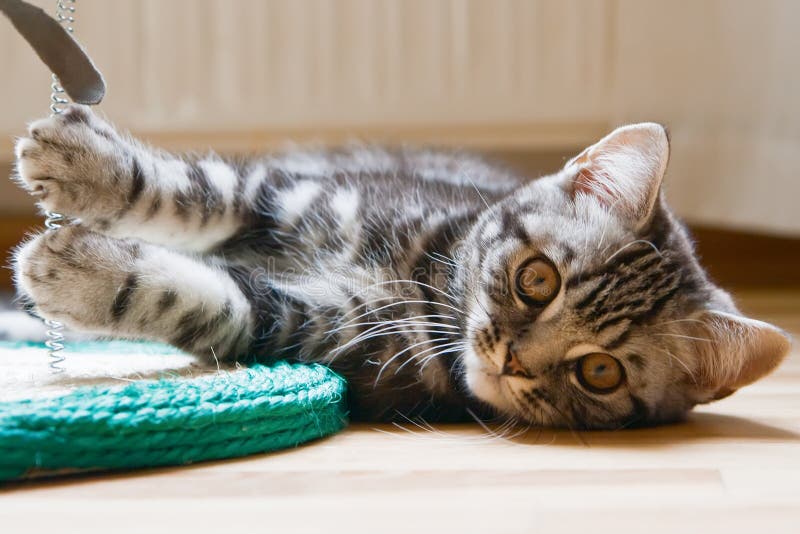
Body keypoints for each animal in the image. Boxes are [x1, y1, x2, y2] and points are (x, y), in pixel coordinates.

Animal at [7, 107, 792, 430]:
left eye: (600, 372)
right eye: (536, 279)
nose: (512, 360)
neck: (425, 274)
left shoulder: (330, 335)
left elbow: (218, 298)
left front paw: (81, 271)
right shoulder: (297, 193)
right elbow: (202, 191)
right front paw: (86, 166)